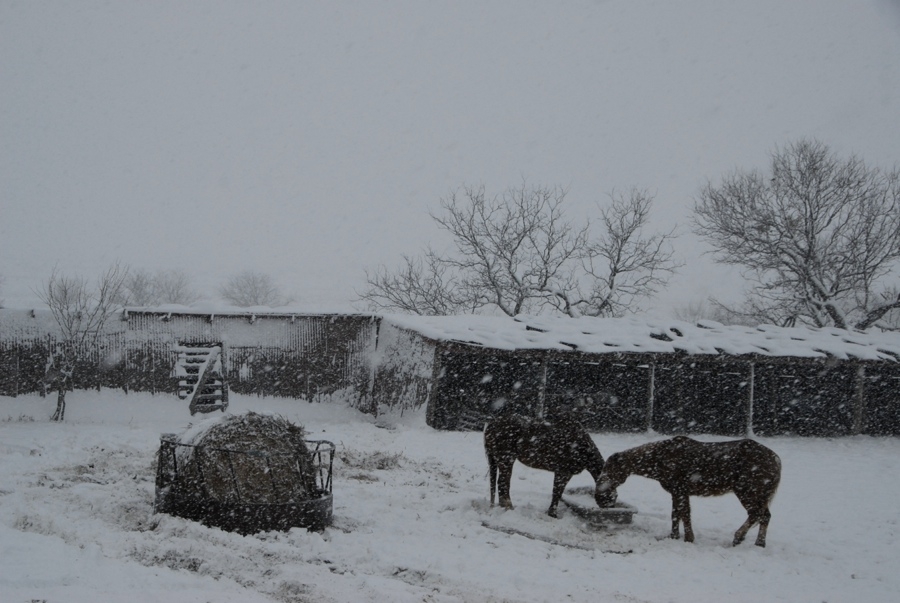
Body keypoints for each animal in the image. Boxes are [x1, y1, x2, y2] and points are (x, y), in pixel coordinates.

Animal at [596, 436, 780, 548]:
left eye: (610, 470)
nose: (599, 497)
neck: (657, 461)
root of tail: (777, 460)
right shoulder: (677, 492)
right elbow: (677, 514)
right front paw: (675, 536)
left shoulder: (680, 490)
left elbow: (683, 513)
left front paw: (687, 538)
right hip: (757, 495)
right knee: (764, 516)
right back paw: (757, 543)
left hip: (747, 492)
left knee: (758, 515)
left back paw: (741, 538)